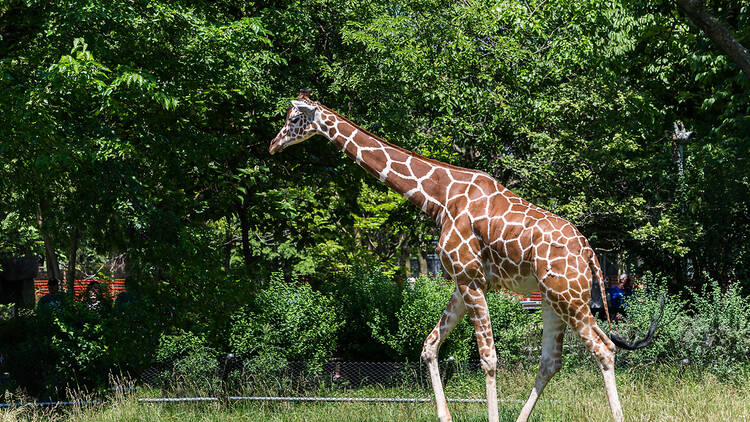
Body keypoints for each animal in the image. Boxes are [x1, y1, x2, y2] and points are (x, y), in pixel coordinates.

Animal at [272, 90, 664, 422]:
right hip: (554, 297)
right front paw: (444, 415)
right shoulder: (464, 282)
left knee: (603, 349)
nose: (274, 144)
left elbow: (488, 358)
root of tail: (589, 251)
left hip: (570, 296)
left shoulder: (471, 280)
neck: (438, 197)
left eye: (294, 118)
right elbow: (430, 345)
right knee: (551, 361)